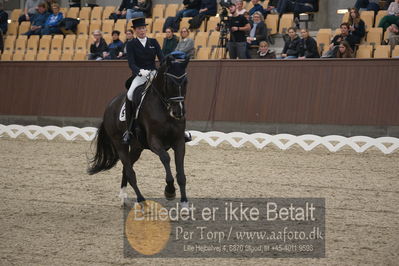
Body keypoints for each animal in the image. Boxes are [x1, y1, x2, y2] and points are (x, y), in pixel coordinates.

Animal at [88, 55, 191, 207]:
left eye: (185, 82)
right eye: (170, 82)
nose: (178, 112)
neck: (164, 109)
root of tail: (110, 106)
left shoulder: (179, 141)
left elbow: (181, 173)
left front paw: (184, 203)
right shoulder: (154, 141)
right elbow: (165, 158)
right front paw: (170, 191)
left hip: (137, 147)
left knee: (127, 168)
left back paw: (124, 197)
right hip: (120, 144)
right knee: (130, 172)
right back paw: (142, 201)